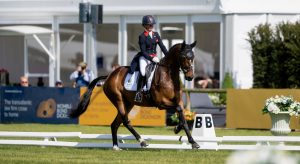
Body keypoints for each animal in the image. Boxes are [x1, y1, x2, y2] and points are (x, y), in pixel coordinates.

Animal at [69, 40, 200, 150]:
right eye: (183, 57)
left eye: (193, 57)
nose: (190, 76)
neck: (168, 77)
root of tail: (110, 75)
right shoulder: (161, 103)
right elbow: (179, 111)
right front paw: (182, 133)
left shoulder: (178, 102)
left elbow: (183, 117)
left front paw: (189, 138)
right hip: (118, 100)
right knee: (125, 121)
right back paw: (142, 141)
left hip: (128, 103)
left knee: (115, 124)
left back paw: (116, 147)